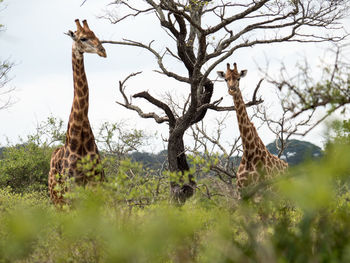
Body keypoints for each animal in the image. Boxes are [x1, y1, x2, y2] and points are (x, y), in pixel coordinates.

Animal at [48, 20, 106, 206]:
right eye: (83, 38)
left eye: (96, 35)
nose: (103, 51)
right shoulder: (71, 187)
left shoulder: (97, 182)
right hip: (56, 198)